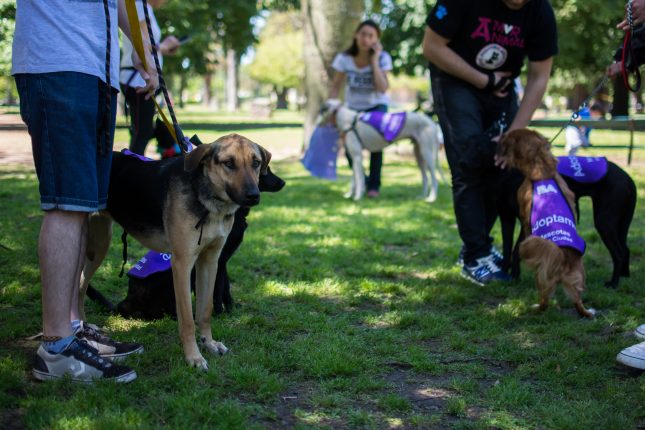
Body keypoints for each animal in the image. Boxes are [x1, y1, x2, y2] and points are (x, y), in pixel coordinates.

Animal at [79, 134, 270, 370]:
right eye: (228, 163)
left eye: (256, 163)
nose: (253, 196)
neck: (208, 201)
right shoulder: (183, 263)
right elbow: (187, 319)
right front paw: (193, 357)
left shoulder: (210, 261)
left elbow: (205, 311)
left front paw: (210, 344)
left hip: (98, 245)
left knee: (80, 286)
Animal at [498, 159, 632, 288]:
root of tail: (629, 180)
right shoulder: (506, 218)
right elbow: (507, 248)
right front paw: (504, 275)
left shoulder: (526, 223)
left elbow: (516, 249)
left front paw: (514, 276)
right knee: (625, 249)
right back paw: (625, 276)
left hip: (604, 222)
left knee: (619, 253)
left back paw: (614, 283)